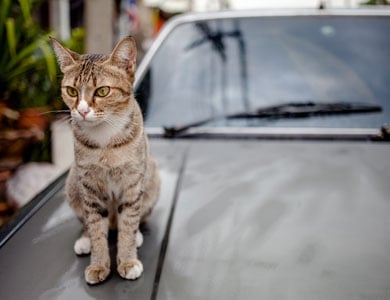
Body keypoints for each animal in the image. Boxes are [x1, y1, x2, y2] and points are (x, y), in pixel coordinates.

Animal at [50, 36, 160, 284]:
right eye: (71, 90)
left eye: (102, 91)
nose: (81, 111)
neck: (105, 141)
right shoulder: (89, 185)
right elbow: (95, 228)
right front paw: (99, 264)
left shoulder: (131, 183)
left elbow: (128, 223)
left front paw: (127, 260)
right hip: (72, 182)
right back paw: (85, 240)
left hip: (152, 177)